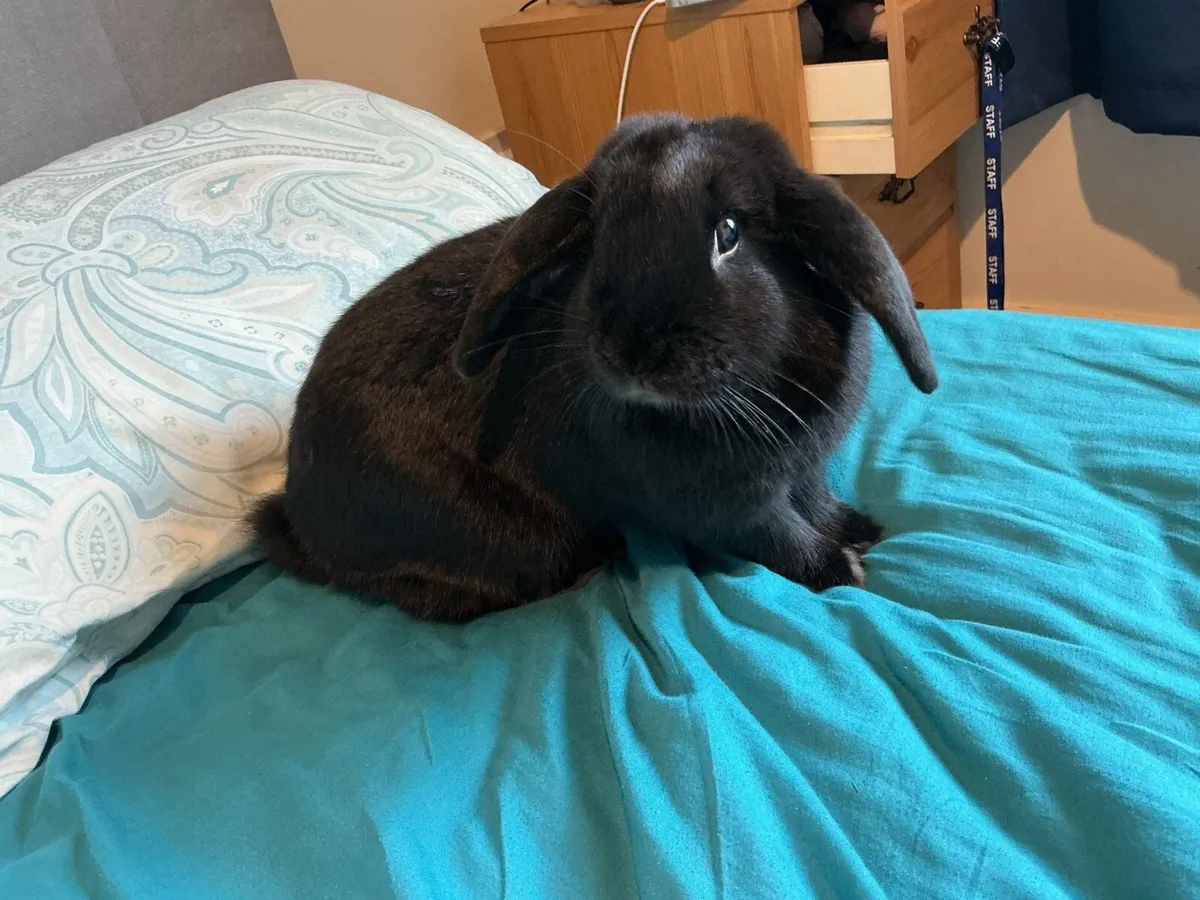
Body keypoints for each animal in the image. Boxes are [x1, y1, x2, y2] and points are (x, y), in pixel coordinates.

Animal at [250, 113, 938, 621]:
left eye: (729, 232)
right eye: (599, 237)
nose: (631, 352)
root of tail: (298, 517)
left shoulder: (805, 468)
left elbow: (816, 503)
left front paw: (862, 530)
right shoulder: (733, 508)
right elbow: (784, 539)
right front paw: (843, 571)